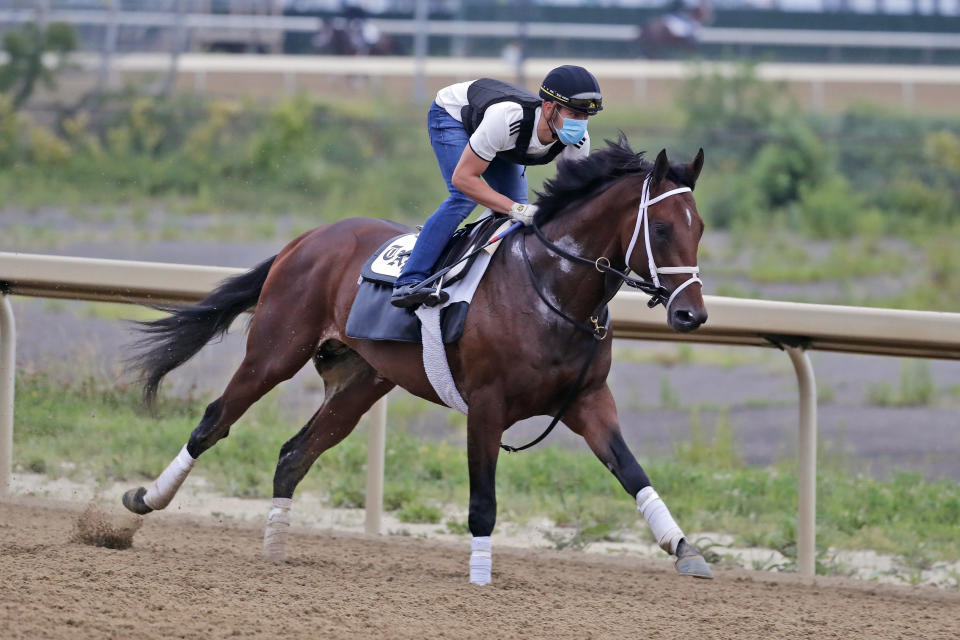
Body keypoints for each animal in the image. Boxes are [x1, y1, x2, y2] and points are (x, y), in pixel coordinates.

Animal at [122, 139, 712, 584]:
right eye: (662, 228)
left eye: (700, 228)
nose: (692, 314)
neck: (552, 290)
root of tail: (308, 238)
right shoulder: (488, 405)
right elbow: (483, 499)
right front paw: (481, 576)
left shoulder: (587, 400)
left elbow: (632, 472)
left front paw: (685, 549)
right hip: (274, 351)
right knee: (213, 422)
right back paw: (142, 502)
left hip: (362, 382)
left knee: (294, 454)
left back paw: (273, 549)